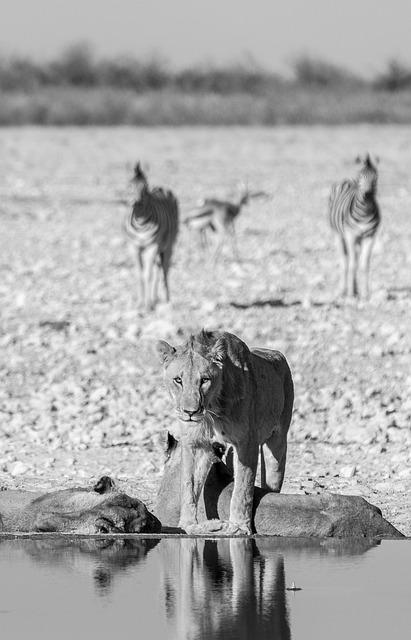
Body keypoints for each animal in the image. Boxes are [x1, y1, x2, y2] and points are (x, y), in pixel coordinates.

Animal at [123, 164, 179, 312]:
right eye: (129, 185)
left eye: (145, 187)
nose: (136, 203)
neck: (140, 222)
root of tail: (160, 188)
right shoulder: (134, 247)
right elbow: (140, 274)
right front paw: (140, 303)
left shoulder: (152, 246)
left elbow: (147, 275)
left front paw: (147, 305)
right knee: (157, 270)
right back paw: (155, 299)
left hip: (168, 246)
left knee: (164, 271)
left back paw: (167, 299)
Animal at [156, 330, 294, 536]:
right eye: (178, 380)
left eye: (204, 380)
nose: (190, 412)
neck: (212, 410)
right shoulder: (195, 443)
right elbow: (189, 484)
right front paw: (189, 524)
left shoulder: (246, 442)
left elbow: (243, 487)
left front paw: (239, 526)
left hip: (277, 443)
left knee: (271, 479)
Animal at [330, 155, 382, 300]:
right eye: (360, 176)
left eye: (376, 176)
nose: (368, 194)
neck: (364, 212)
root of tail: (347, 181)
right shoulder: (350, 235)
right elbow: (352, 264)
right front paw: (350, 294)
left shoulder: (370, 236)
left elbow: (364, 265)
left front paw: (365, 293)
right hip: (338, 235)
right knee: (345, 260)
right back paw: (344, 290)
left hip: (359, 238)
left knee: (356, 259)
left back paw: (355, 289)